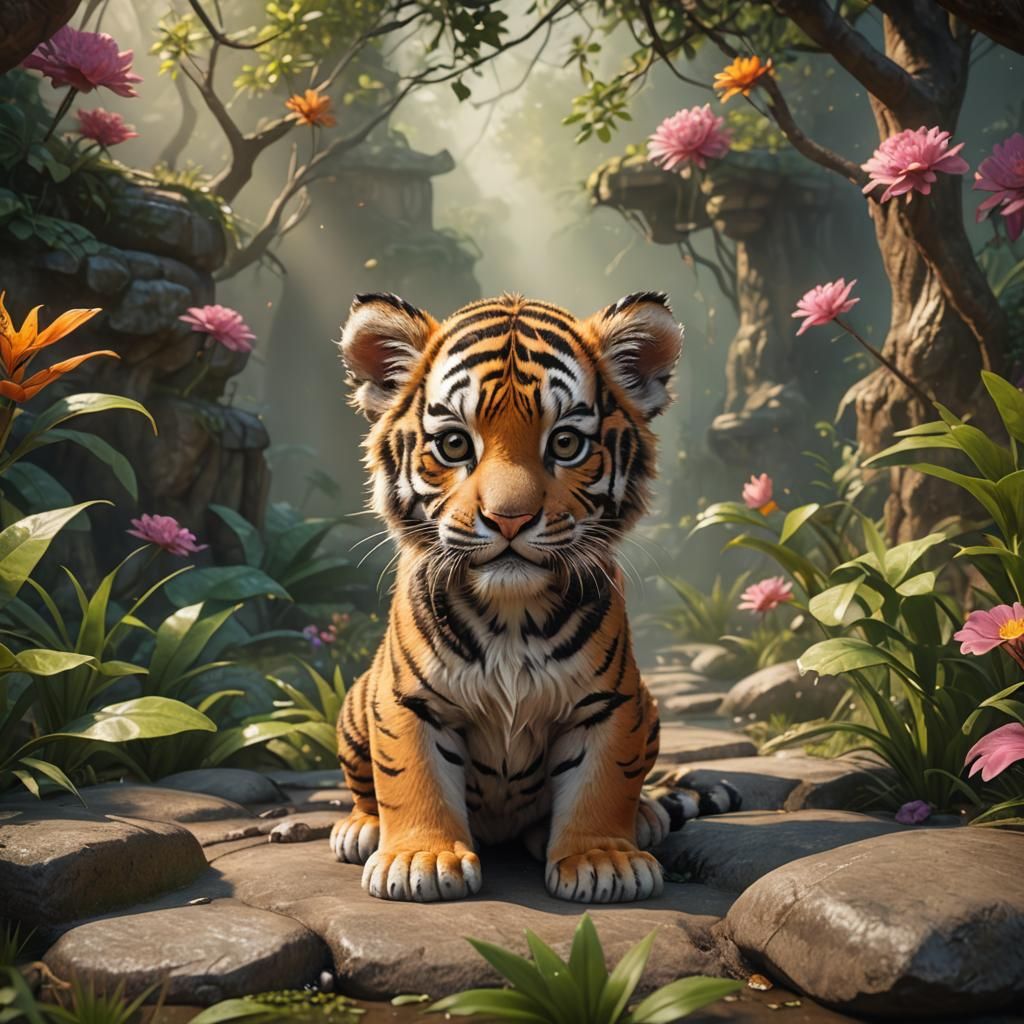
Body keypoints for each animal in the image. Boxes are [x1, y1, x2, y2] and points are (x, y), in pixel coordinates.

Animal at [329, 290, 737, 904]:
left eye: (565, 443)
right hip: (360, 700)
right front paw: (421, 858)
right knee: (365, 787)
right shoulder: (408, 702)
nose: (509, 518)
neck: (510, 613)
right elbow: (411, 776)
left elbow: (603, 783)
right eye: (454, 444)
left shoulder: (610, 703)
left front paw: (601, 860)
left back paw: (642, 820)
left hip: (649, 704)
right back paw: (362, 828)